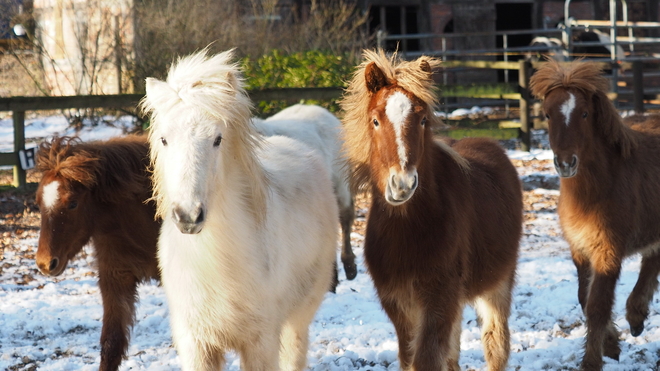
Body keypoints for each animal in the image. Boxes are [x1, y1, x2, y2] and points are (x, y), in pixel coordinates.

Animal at [142, 50, 338, 371]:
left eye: (217, 139)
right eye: (164, 139)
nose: (188, 216)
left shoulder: (261, 342)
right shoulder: (196, 344)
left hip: (298, 318)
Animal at [340, 50, 520, 371]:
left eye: (423, 119)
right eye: (375, 121)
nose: (402, 184)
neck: (408, 231)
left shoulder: (439, 298)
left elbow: (426, 359)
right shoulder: (397, 302)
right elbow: (412, 357)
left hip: (497, 283)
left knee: (496, 343)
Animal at [528, 59, 660, 370]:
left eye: (585, 114)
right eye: (547, 114)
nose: (566, 163)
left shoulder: (608, 251)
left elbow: (598, 305)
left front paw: (591, 361)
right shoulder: (579, 249)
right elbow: (585, 299)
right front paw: (611, 344)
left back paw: (635, 313)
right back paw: (636, 318)